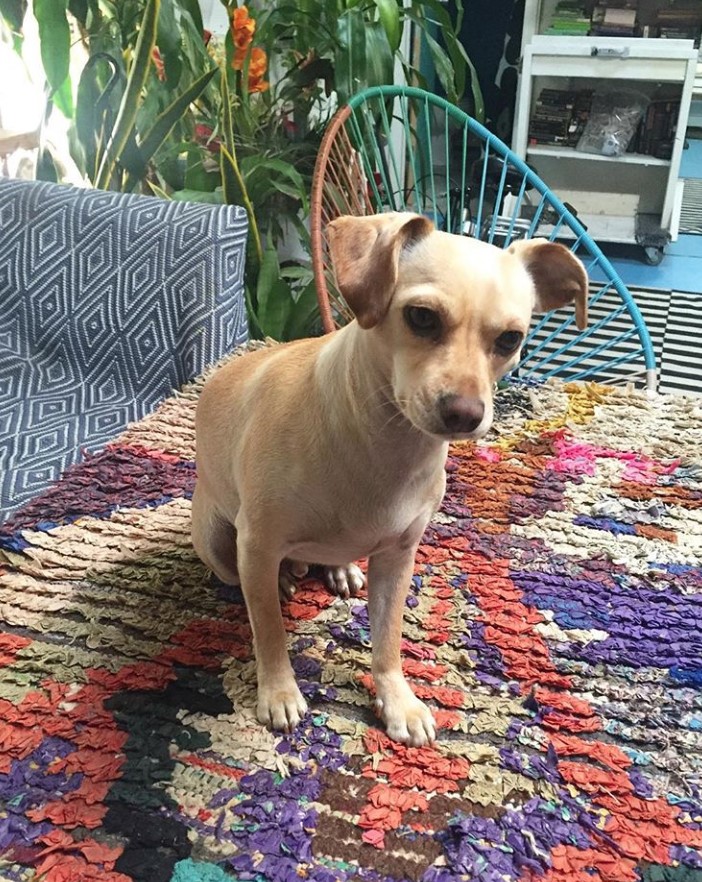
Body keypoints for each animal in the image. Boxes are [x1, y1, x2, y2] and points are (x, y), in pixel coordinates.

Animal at [191, 211, 588, 744]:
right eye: (421, 317)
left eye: (511, 339)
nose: (466, 414)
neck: (386, 446)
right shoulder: (257, 543)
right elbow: (270, 632)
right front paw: (278, 692)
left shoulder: (399, 559)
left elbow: (387, 639)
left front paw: (397, 700)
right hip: (218, 542)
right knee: (249, 582)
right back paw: (282, 582)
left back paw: (339, 568)